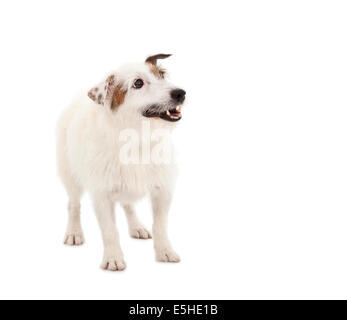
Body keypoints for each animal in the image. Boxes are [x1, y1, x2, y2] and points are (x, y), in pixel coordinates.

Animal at [56, 53, 186, 272]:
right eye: (138, 83)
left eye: (161, 75)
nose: (180, 93)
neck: (137, 139)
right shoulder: (101, 197)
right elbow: (110, 231)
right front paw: (113, 257)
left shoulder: (163, 191)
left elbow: (160, 226)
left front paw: (165, 251)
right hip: (70, 176)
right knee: (73, 205)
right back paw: (74, 232)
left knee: (128, 205)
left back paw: (136, 226)